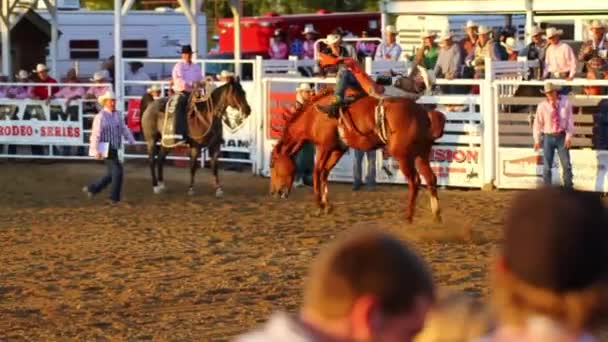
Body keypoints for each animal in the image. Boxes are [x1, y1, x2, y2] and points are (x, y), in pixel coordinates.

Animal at [270, 58, 446, 223]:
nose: (275, 192)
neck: (313, 117)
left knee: (415, 181)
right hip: (421, 153)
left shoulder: (324, 146)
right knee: (430, 178)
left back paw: (409, 217)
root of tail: (424, 113)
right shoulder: (338, 148)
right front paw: (327, 205)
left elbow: (317, 171)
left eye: (272, 164)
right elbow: (325, 172)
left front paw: (319, 205)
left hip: (402, 155)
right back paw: (436, 215)